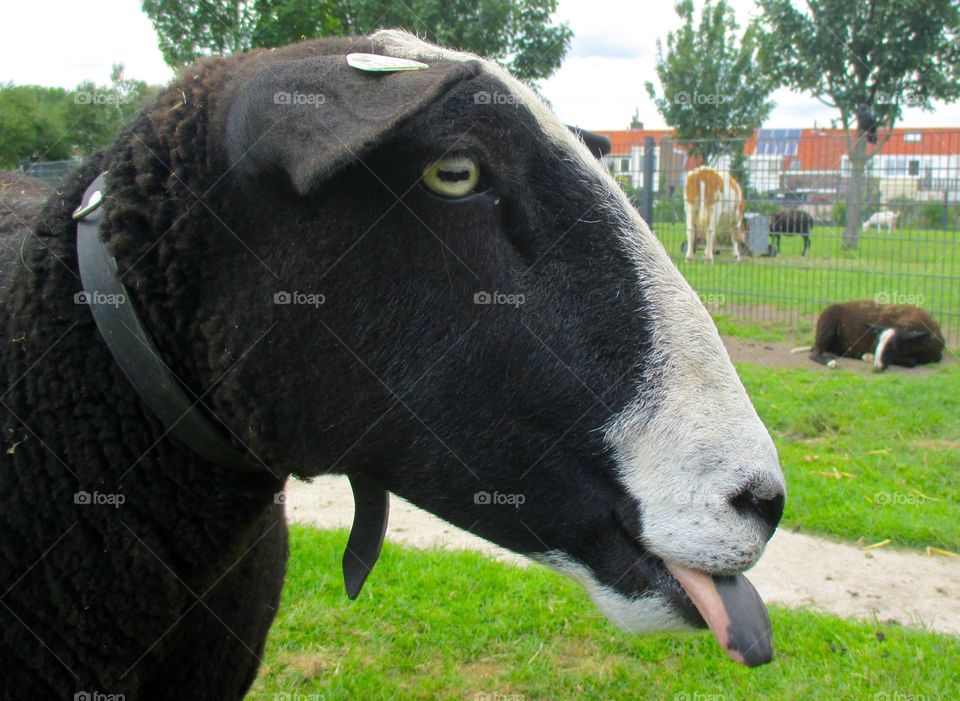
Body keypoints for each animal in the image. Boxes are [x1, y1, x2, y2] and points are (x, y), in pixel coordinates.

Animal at [808, 300, 944, 372]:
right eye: (878, 343)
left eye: (892, 347)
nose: (877, 367)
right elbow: (912, 362)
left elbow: (935, 358)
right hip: (826, 330)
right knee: (814, 354)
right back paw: (831, 362)